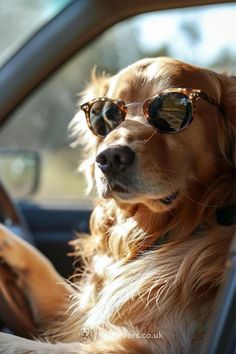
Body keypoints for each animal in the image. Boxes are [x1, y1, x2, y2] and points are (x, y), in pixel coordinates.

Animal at [0, 58, 235, 354]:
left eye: (172, 108)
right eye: (106, 115)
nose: (110, 158)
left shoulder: (130, 344)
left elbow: (15, 342)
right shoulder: (82, 312)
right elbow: (41, 264)